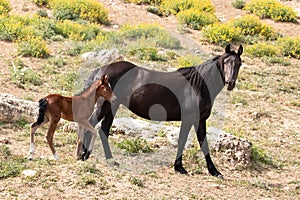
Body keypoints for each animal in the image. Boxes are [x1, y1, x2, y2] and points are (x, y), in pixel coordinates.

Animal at [79, 44, 241, 177]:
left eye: (239, 64)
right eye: (226, 62)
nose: (230, 83)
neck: (198, 85)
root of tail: (102, 71)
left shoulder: (200, 120)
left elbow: (204, 143)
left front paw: (214, 171)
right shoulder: (189, 118)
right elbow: (182, 140)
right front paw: (179, 167)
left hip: (112, 107)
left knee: (103, 130)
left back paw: (110, 160)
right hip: (104, 106)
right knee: (91, 124)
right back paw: (83, 155)